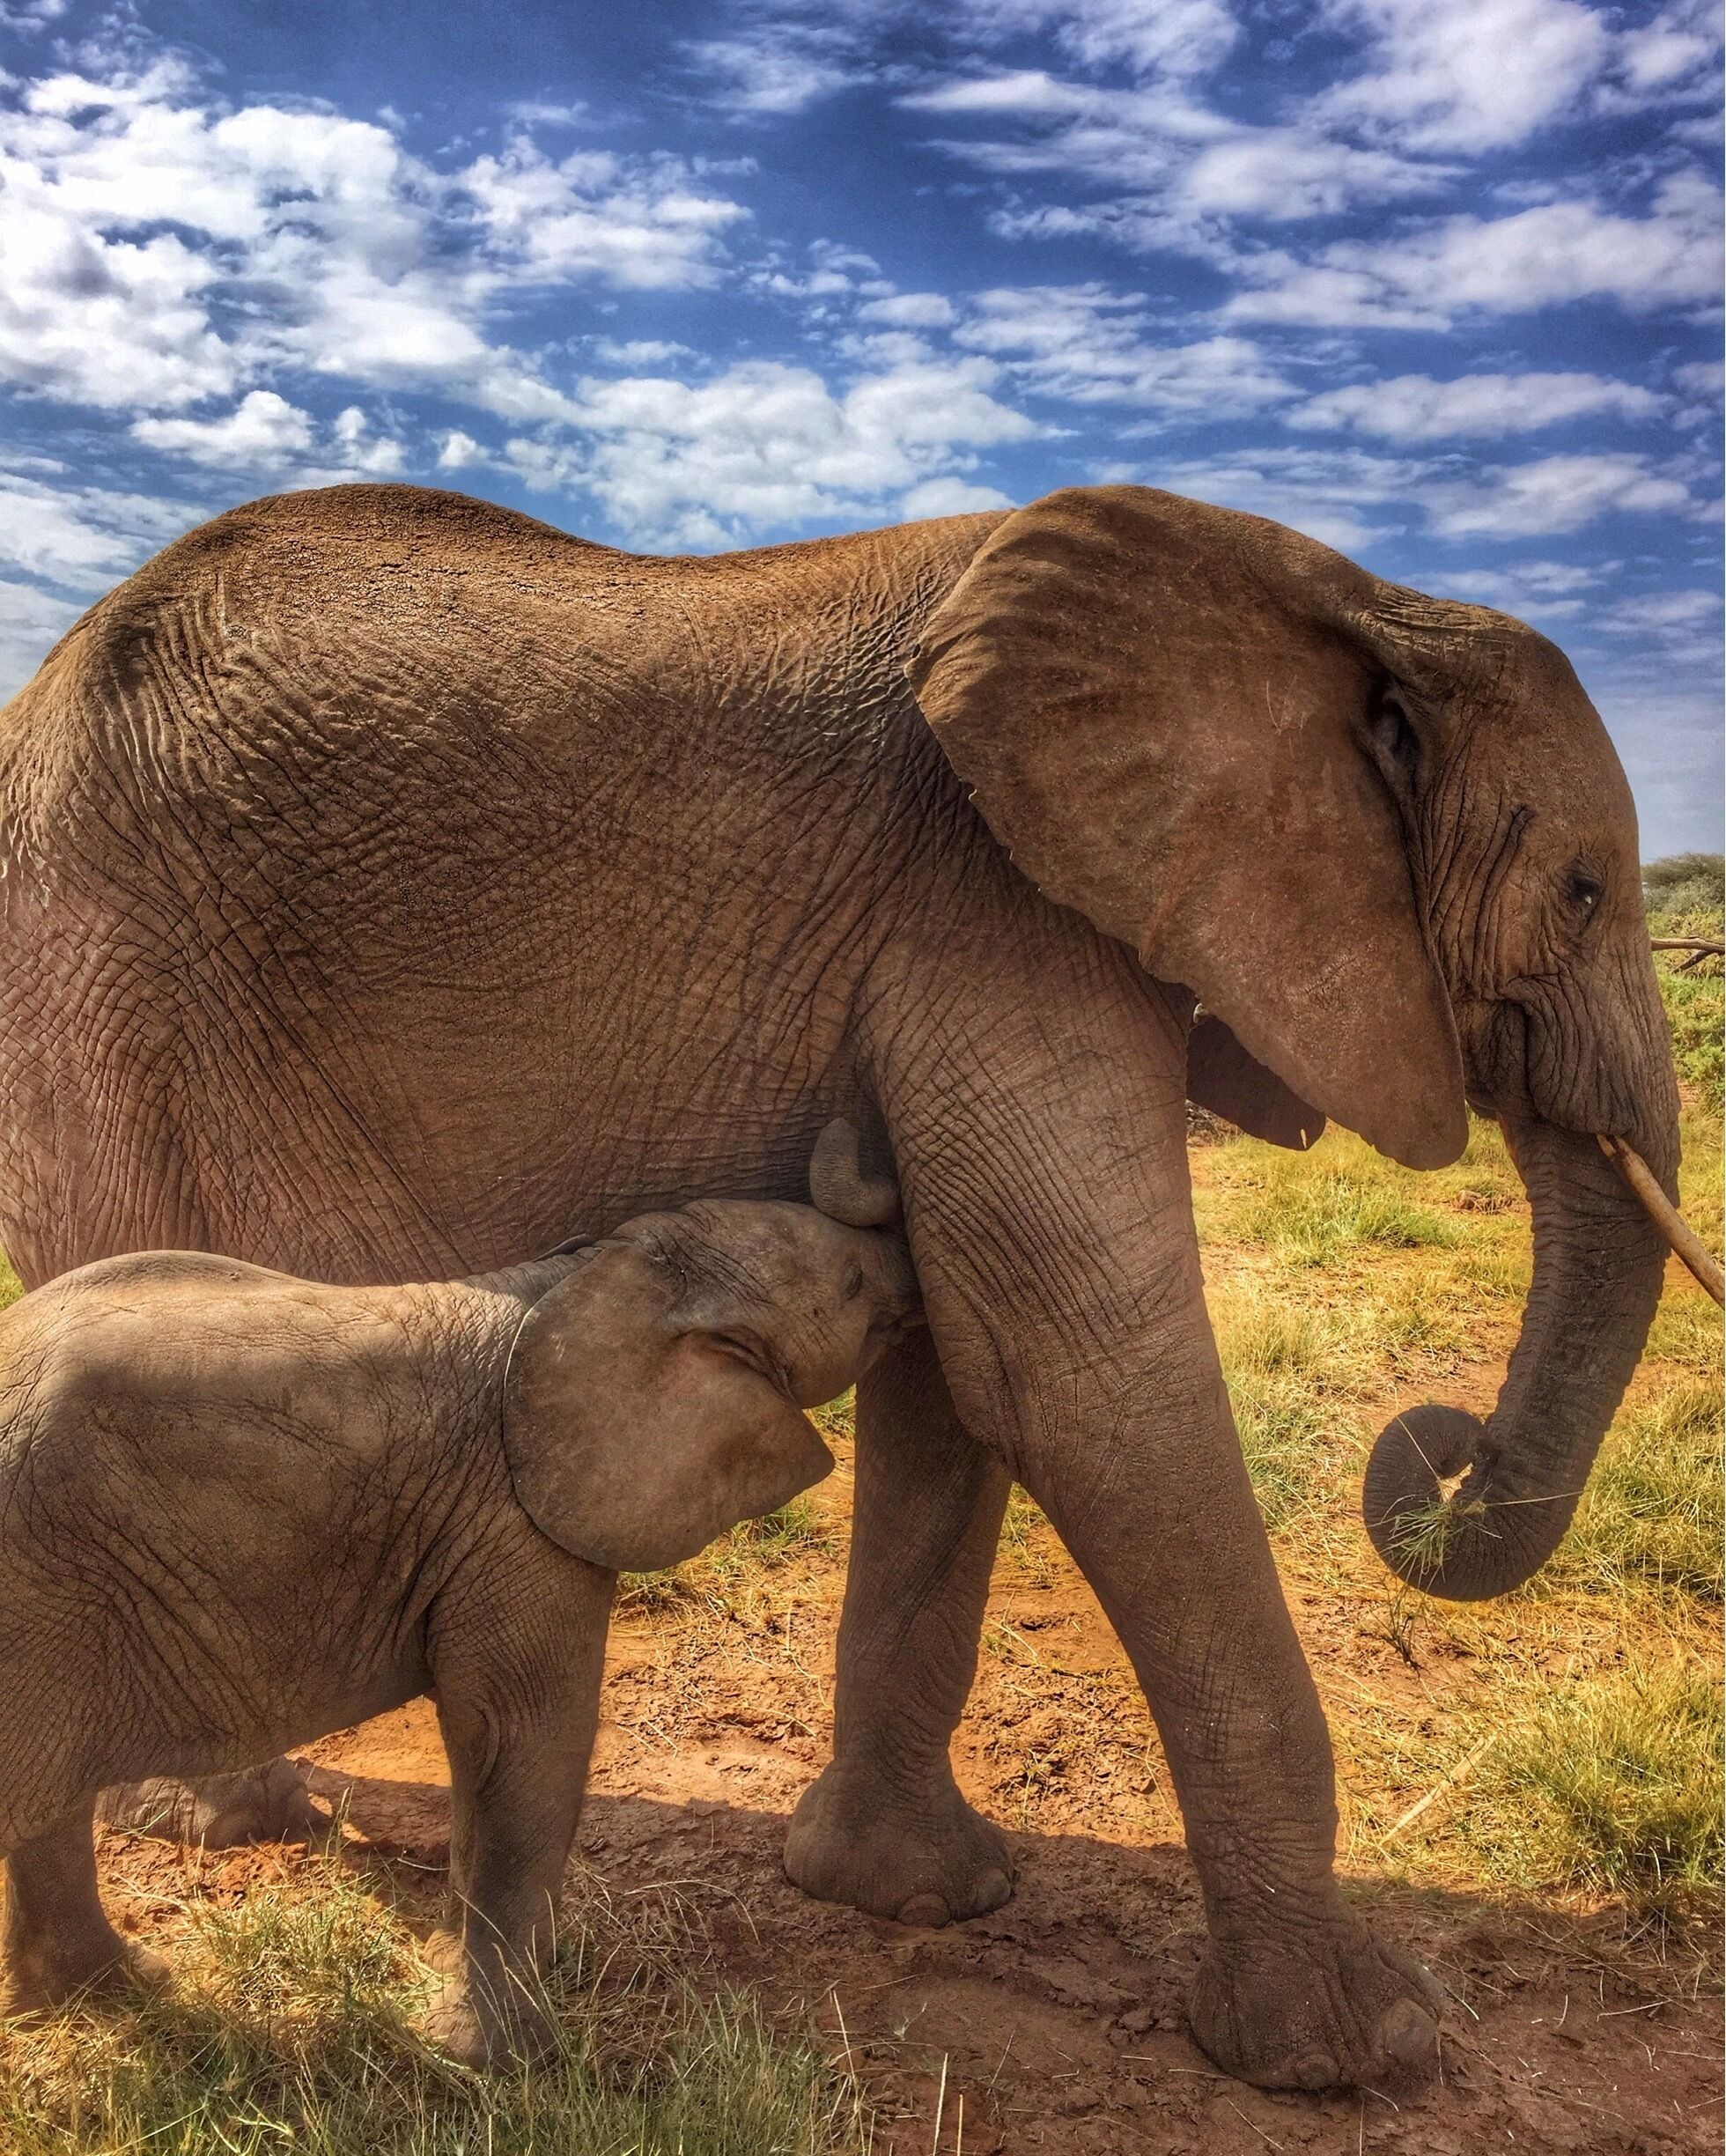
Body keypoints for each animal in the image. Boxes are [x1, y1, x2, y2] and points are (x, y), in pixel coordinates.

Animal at [0, 1143, 917, 2066]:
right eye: (849, 1285)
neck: (596, 1271)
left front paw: (456, 1990)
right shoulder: (516, 1520)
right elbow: (517, 1735)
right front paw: (497, 2060)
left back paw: (112, 1993)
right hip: (43, 1598)